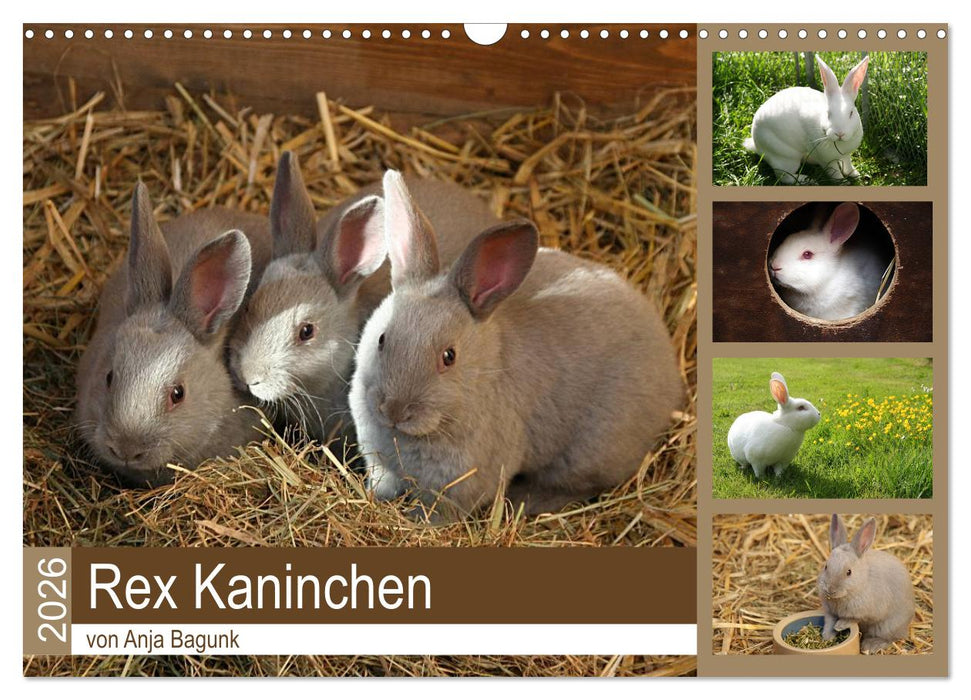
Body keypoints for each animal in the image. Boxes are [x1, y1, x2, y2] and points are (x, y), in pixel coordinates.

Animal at [348, 170, 684, 519]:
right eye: (382, 339)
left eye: (449, 357)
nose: (394, 410)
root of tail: (670, 377)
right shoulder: (381, 467)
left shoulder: (457, 490)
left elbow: (435, 514)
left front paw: (415, 521)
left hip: (590, 454)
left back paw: (525, 500)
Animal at [744, 54, 869, 184]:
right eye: (828, 114)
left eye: (851, 113)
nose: (840, 134)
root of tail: (756, 145)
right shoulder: (827, 161)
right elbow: (835, 172)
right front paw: (843, 182)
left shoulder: (846, 155)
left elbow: (847, 164)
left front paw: (855, 174)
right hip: (787, 158)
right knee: (783, 176)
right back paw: (807, 179)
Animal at [818, 515, 915, 653]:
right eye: (826, 567)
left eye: (849, 572)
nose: (830, 590)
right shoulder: (830, 612)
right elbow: (829, 622)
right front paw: (827, 636)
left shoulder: (869, 612)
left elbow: (854, 619)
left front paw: (840, 625)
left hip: (886, 627)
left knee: (891, 638)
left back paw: (870, 646)